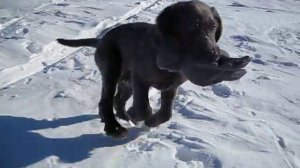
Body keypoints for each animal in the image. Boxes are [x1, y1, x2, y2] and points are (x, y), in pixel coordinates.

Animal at [56, 0, 251, 138]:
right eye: (191, 28)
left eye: (214, 27)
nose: (215, 56)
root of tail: (101, 39)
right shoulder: (140, 78)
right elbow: (143, 107)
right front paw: (137, 115)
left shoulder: (171, 86)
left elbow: (166, 113)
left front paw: (151, 121)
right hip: (112, 69)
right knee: (106, 100)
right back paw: (114, 127)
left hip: (127, 81)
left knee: (118, 99)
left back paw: (123, 117)